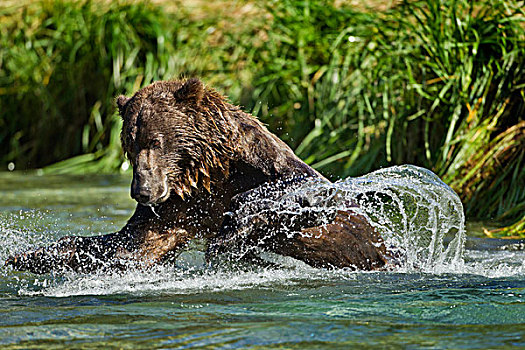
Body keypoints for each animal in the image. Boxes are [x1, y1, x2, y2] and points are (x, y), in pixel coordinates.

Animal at [6, 78, 386, 274]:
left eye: (154, 141)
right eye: (129, 144)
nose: (142, 190)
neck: (203, 173)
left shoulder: (258, 161)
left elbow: (303, 186)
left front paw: (231, 232)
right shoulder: (175, 209)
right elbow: (131, 247)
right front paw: (28, 255)